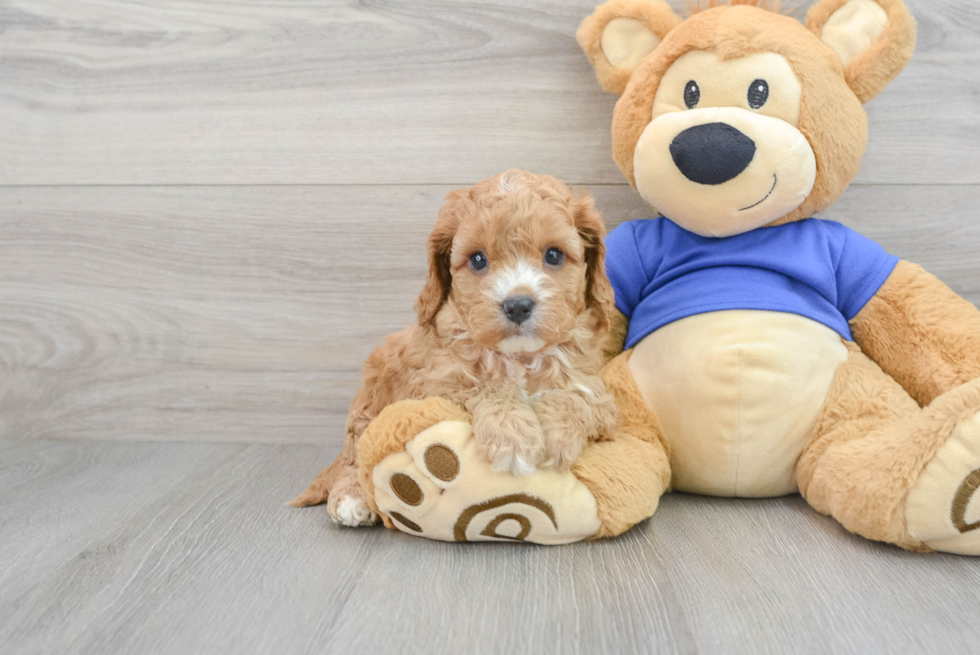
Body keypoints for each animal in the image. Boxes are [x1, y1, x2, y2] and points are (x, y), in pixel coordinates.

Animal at [288, 170, 616, 528]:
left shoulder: (600, 395)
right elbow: (483, 384)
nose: (517, 305)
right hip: (369, 401)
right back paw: (351, 498)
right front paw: (511, 434)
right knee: (355, 455)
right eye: (478, 260)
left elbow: (579, 397)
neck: (519, 357)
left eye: (554, 255)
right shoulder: (433, 385)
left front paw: (558, 433)